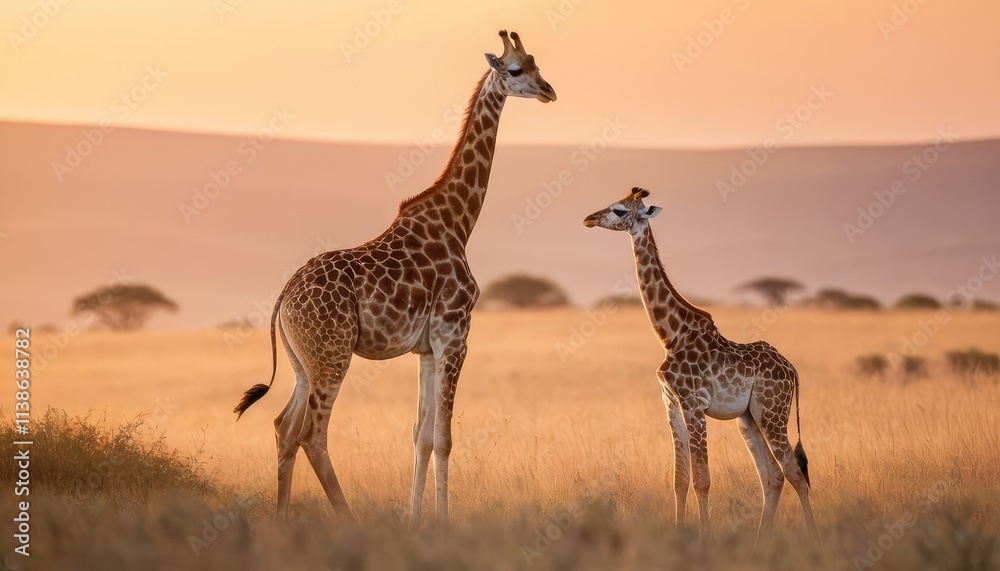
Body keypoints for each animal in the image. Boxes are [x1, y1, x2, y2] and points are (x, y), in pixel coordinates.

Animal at [233, 30, 556, 528]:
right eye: (517, 69)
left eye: (538, 65)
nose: (549, 91)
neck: (459, 222)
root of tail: (283, 298)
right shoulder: (455, 334)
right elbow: (444, 437)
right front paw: (441, 523)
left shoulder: (426, 348)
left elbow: (421, 435)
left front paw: (415, 520)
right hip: (333, 356)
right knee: (312, 434)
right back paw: (347, 521)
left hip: (303, 362)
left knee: (283, 427)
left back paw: (282, 519)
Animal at [583, 187, 820, 552]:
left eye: (620, 210)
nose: (589, 219)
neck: (670, 334)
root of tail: (792, 369)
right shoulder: (670, 404)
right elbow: (680, 479)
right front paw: (680, 540)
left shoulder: (694, 403)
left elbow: (702, 480)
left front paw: (703, 544)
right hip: (748, 419)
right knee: (772, 476)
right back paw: (758, 545)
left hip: (772, 412)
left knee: (795, 474)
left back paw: (814, 544)